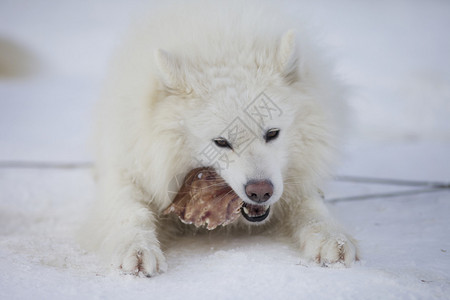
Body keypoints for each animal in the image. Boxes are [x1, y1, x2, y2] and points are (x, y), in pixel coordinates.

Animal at [81, 0, 360, 276]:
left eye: (272, 133)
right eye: (221, 142)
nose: (261, 191)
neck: (223, 42)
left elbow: (311, 208)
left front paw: (331, 238)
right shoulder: (131, 168)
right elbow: (129, 211)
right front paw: (136, 250)